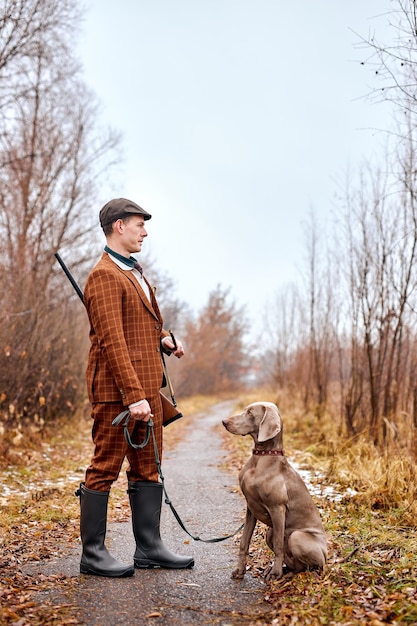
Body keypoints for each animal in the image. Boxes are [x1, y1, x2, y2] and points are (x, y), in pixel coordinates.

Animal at [223, 400, 326, 580]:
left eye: (250, 413)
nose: (224, 422)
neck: (260, 458)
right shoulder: (251, 508)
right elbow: (244, 541)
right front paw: (240, 570)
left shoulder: (278, 509)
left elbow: (278, 546)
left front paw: (275, 573)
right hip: (269, 532)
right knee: (296, 565)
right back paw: (283, 571)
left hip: (296, 536)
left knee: (313, 566)